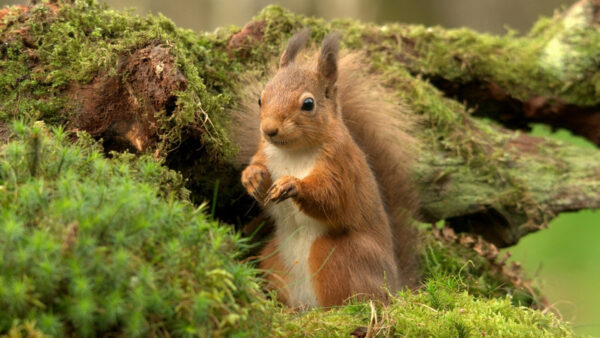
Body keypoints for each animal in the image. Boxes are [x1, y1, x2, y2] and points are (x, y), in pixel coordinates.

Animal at [237, 30, 420, 308]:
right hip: (272, 258)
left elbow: (333, 198)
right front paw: (252, 177)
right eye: (261, 98)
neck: (293, 152)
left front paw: (293, 185)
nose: (268, 129)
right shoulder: (264, 152)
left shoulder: (341, 166)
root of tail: (394, 285)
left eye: (308, 104)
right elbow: (258, 166)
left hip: (337, 255)